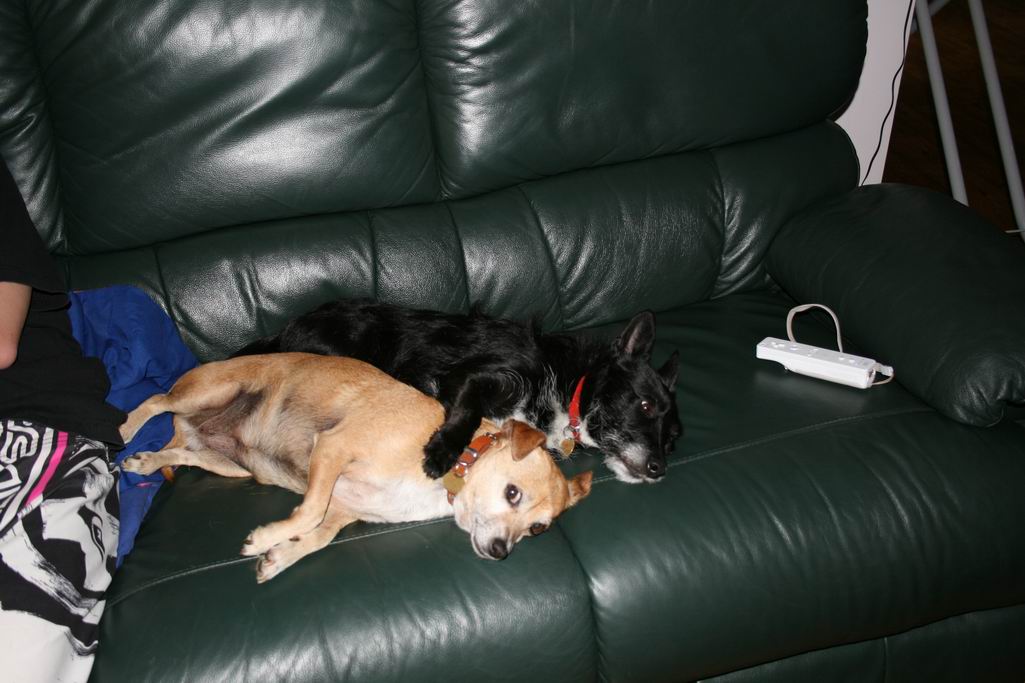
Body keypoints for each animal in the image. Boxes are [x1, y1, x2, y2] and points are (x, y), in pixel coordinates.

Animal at [119, 353, 592, 582]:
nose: (500, 552)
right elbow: (308, 514)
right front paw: (262, 541)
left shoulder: (343, 509)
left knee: (182, 453)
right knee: (156, 400)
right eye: (512, 493)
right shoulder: (332, 450)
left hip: (228, 464)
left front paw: (279, 556)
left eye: (537, 530)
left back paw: (147, 459)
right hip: (210, 391)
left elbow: (317, 536)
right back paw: (124, 430)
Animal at [236, 299, 681, 484]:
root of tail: (283, 332)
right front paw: (441, 452)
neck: (573, 384)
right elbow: (467, 412)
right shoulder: (472, 377)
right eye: (644, 404)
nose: (659, 469)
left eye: (673, 440)